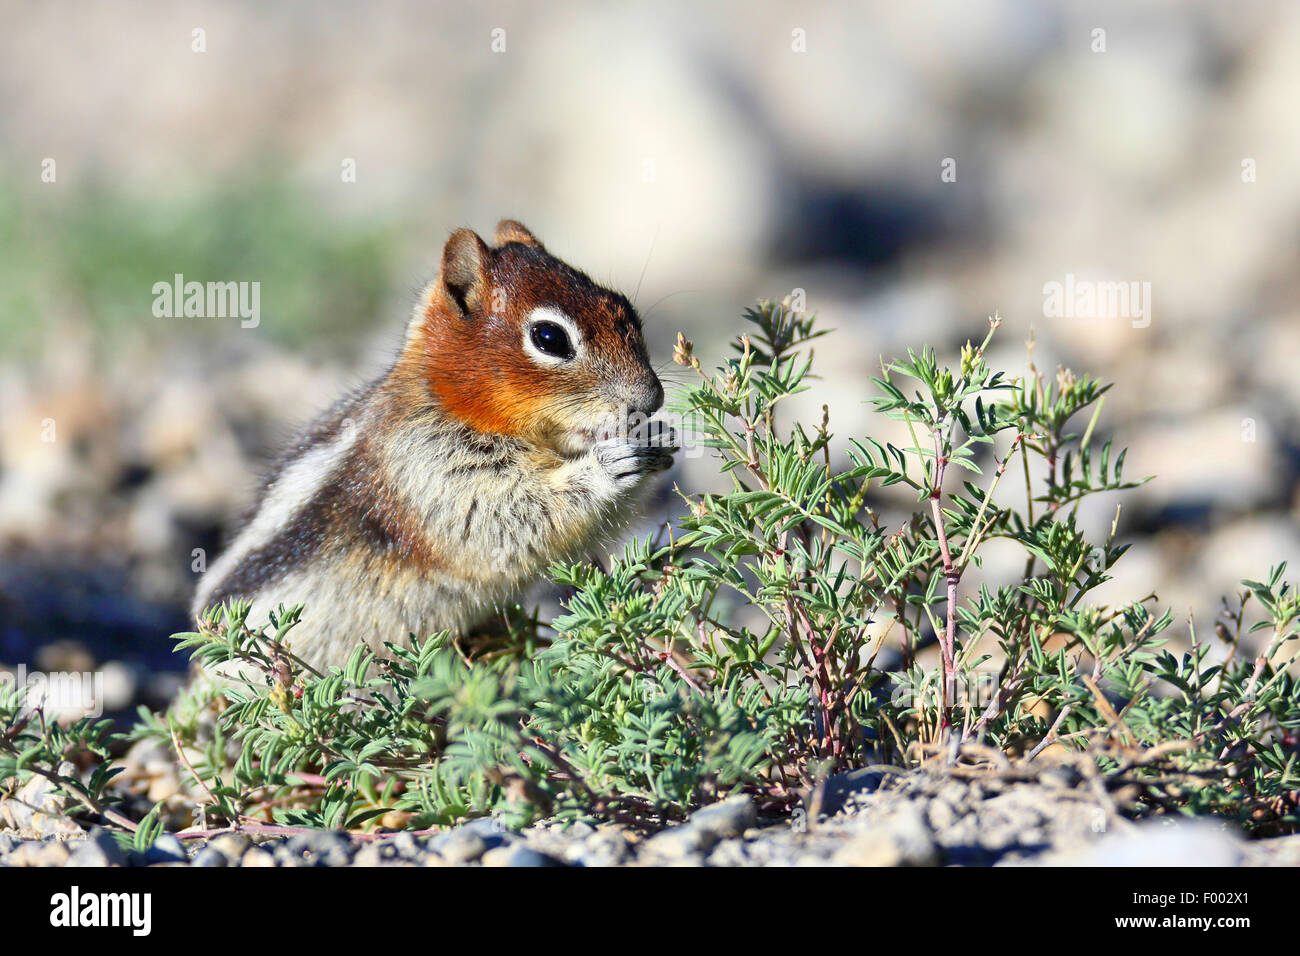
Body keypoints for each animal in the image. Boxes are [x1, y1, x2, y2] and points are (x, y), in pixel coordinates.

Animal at [200, 222, 681, 671]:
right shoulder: (425, 467)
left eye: (624, 307)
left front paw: (658, 437)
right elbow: (506, 519)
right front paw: (609, 465)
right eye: (549, 338)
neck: (452, 401)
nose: (650, 398)